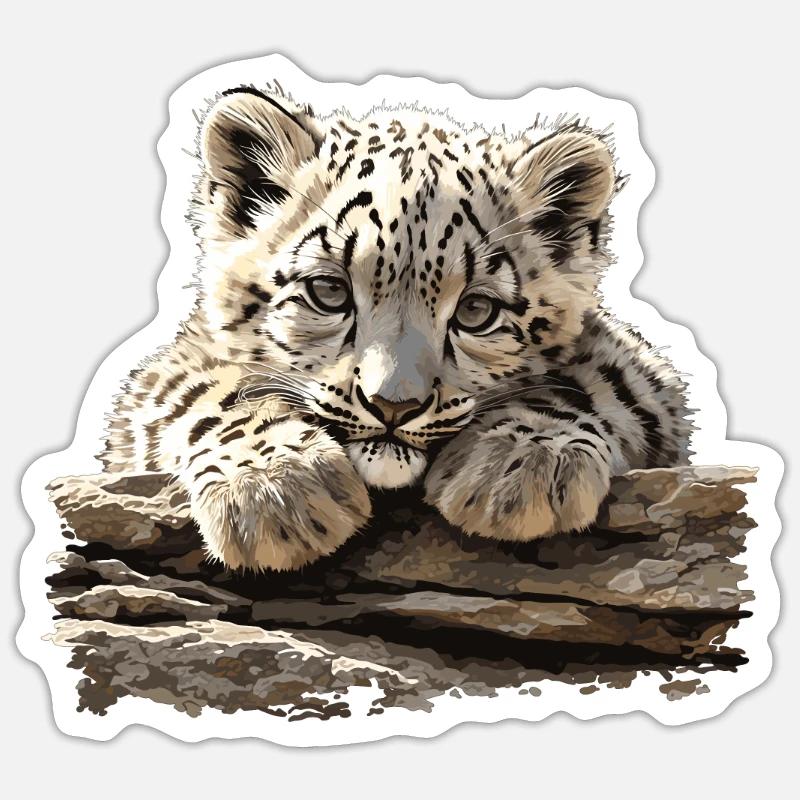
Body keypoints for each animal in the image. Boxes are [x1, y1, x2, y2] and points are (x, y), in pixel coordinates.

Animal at [101, 85, 692, 572]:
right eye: (330, 290)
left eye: (476, 310)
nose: (393, 406)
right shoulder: (161, 378)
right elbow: (209, 389)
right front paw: (274, 490)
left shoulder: (644, 372)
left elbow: (587, 381)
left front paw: (524, 464)